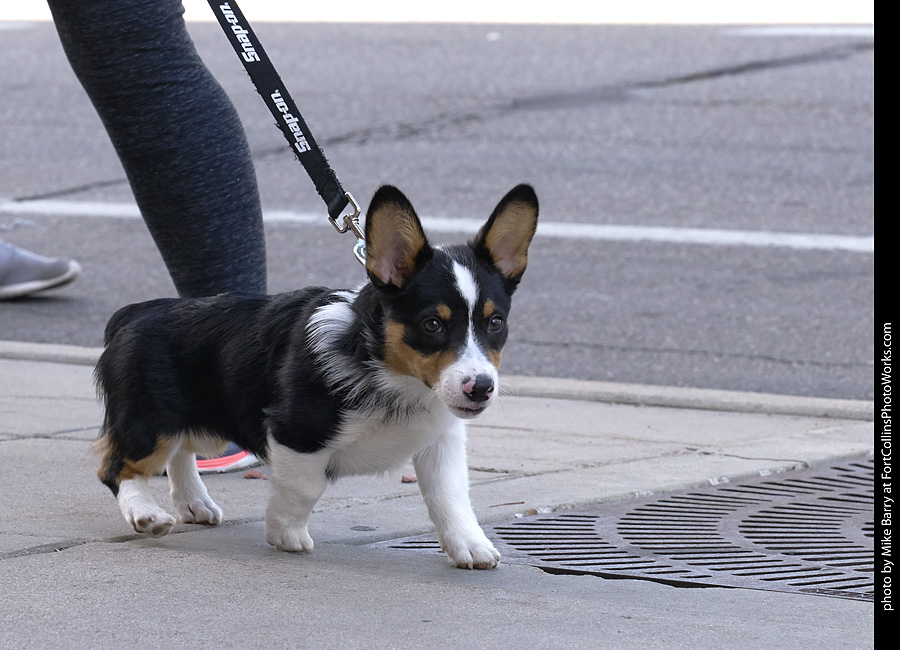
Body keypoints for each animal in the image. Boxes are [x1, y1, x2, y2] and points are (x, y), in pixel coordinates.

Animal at [94, 184, 538, 569]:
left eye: (495, 323)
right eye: (432, 325)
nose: (481, 389)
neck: (390, 373)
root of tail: (135, 312)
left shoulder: (441, 440)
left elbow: (450, 496)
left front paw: (470, 545)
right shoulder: (295, 433)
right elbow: (307, 487)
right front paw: (285, 533)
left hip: (199, 424)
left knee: (181, 450)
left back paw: (193, 503)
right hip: (149, 423)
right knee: (119, 469)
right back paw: (147, 514)